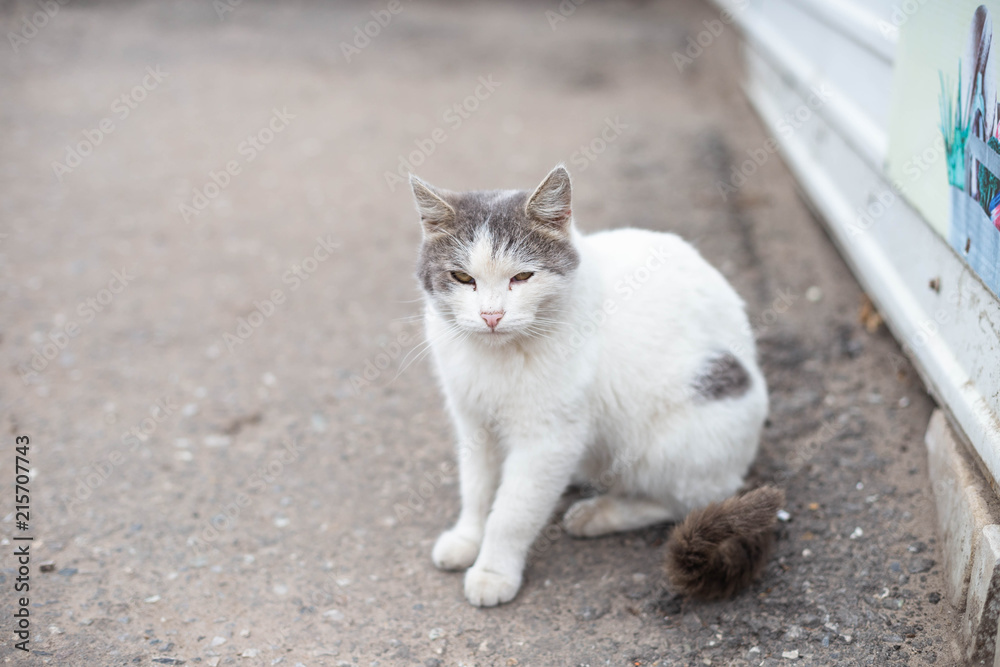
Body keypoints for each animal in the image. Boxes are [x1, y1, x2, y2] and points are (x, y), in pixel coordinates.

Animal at [412, 166, 780, 604]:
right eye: (462, 277)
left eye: (522, 276)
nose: (491, 316)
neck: (496, 357)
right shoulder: (472, 420)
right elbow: (476, 488)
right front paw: (467, 538)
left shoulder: (548, 438)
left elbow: (513, 512)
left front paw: (492, 571)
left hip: (677, 436)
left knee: (688, 499)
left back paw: (599, 513)